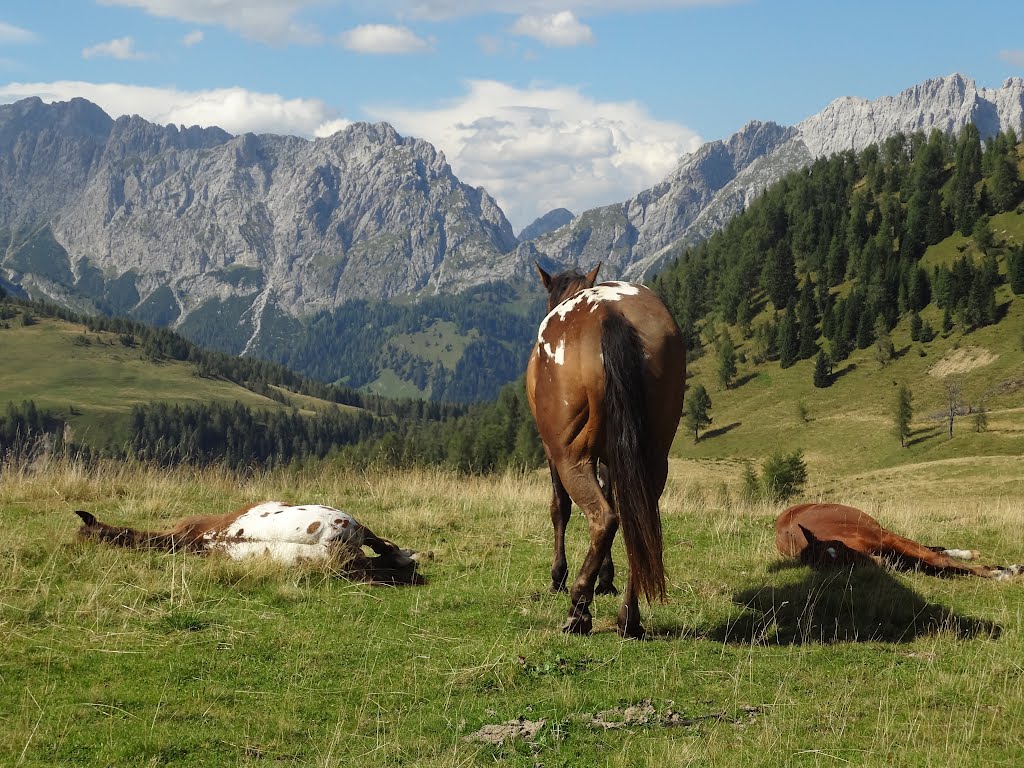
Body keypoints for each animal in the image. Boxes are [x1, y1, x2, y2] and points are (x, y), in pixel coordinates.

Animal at [528, 264, 688, 638]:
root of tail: (609, 314)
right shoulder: (614, 458)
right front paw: (605, 577)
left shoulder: (552, 453)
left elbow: (559, 508)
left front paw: (558, 576)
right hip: (653, 455)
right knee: (635, 522)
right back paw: (629, 617)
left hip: (570, 457)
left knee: (604, 519)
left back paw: (578, 609)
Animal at [778, 501, 1019, 581]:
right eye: (841, 565)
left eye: (842, 549)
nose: (882, 562)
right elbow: (933, 564)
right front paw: (1001, 570)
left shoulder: (887, 540)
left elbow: (937, 560)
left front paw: (999, 572)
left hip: (884, 531)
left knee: (932, 550)